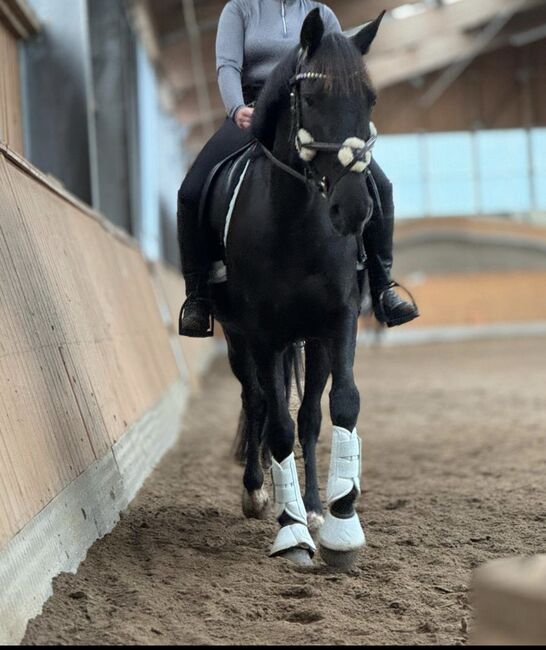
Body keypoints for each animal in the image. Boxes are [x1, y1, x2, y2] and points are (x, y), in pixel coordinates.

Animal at [204, 10, 382, 568]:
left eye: (370, 100)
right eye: (315, 98)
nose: (354, 210)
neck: (296, 222)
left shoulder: (338, 321)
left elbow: (340, 405)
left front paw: (340, 523)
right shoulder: (262, 335)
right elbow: (277, 423)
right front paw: (291, 533)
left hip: (309, 341)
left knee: (307, 415)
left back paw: (314, 505)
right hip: (241, 340)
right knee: (259, 402)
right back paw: (259, 492)